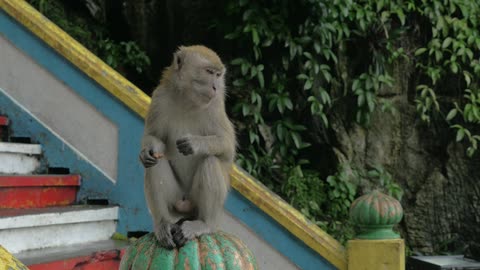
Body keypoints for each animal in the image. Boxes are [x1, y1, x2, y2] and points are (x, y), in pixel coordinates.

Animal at [139, 44, 236, 249]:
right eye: (209, 72)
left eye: (218, 75)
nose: (215, 87)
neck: (187, 100)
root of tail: (186, 209)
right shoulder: (159, 97)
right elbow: (154, 136)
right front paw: (146, 152)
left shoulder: (215, 106)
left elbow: (227, 149)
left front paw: (195, 143)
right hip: (176, 203)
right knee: (155, 164)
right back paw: (163, 224)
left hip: (197, 204)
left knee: (210, 162)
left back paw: (204, 224)